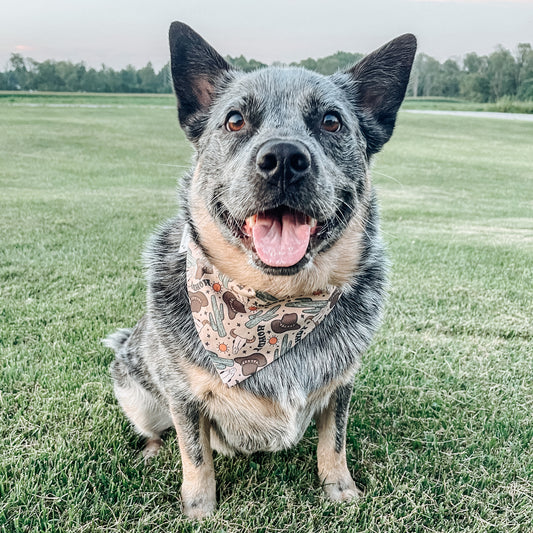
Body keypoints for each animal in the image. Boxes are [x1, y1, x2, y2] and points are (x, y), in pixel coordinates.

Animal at [105, 22, 416, 516]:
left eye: (331, 121)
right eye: (235, 120)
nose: (284, 158)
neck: (271, 305)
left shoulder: (341, 385)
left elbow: (334, 442)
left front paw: (340, 489)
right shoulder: (182, 396)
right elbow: (195, 453)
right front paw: (199, 508)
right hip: (134, 388)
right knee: (157, 429)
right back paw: (152, 451)